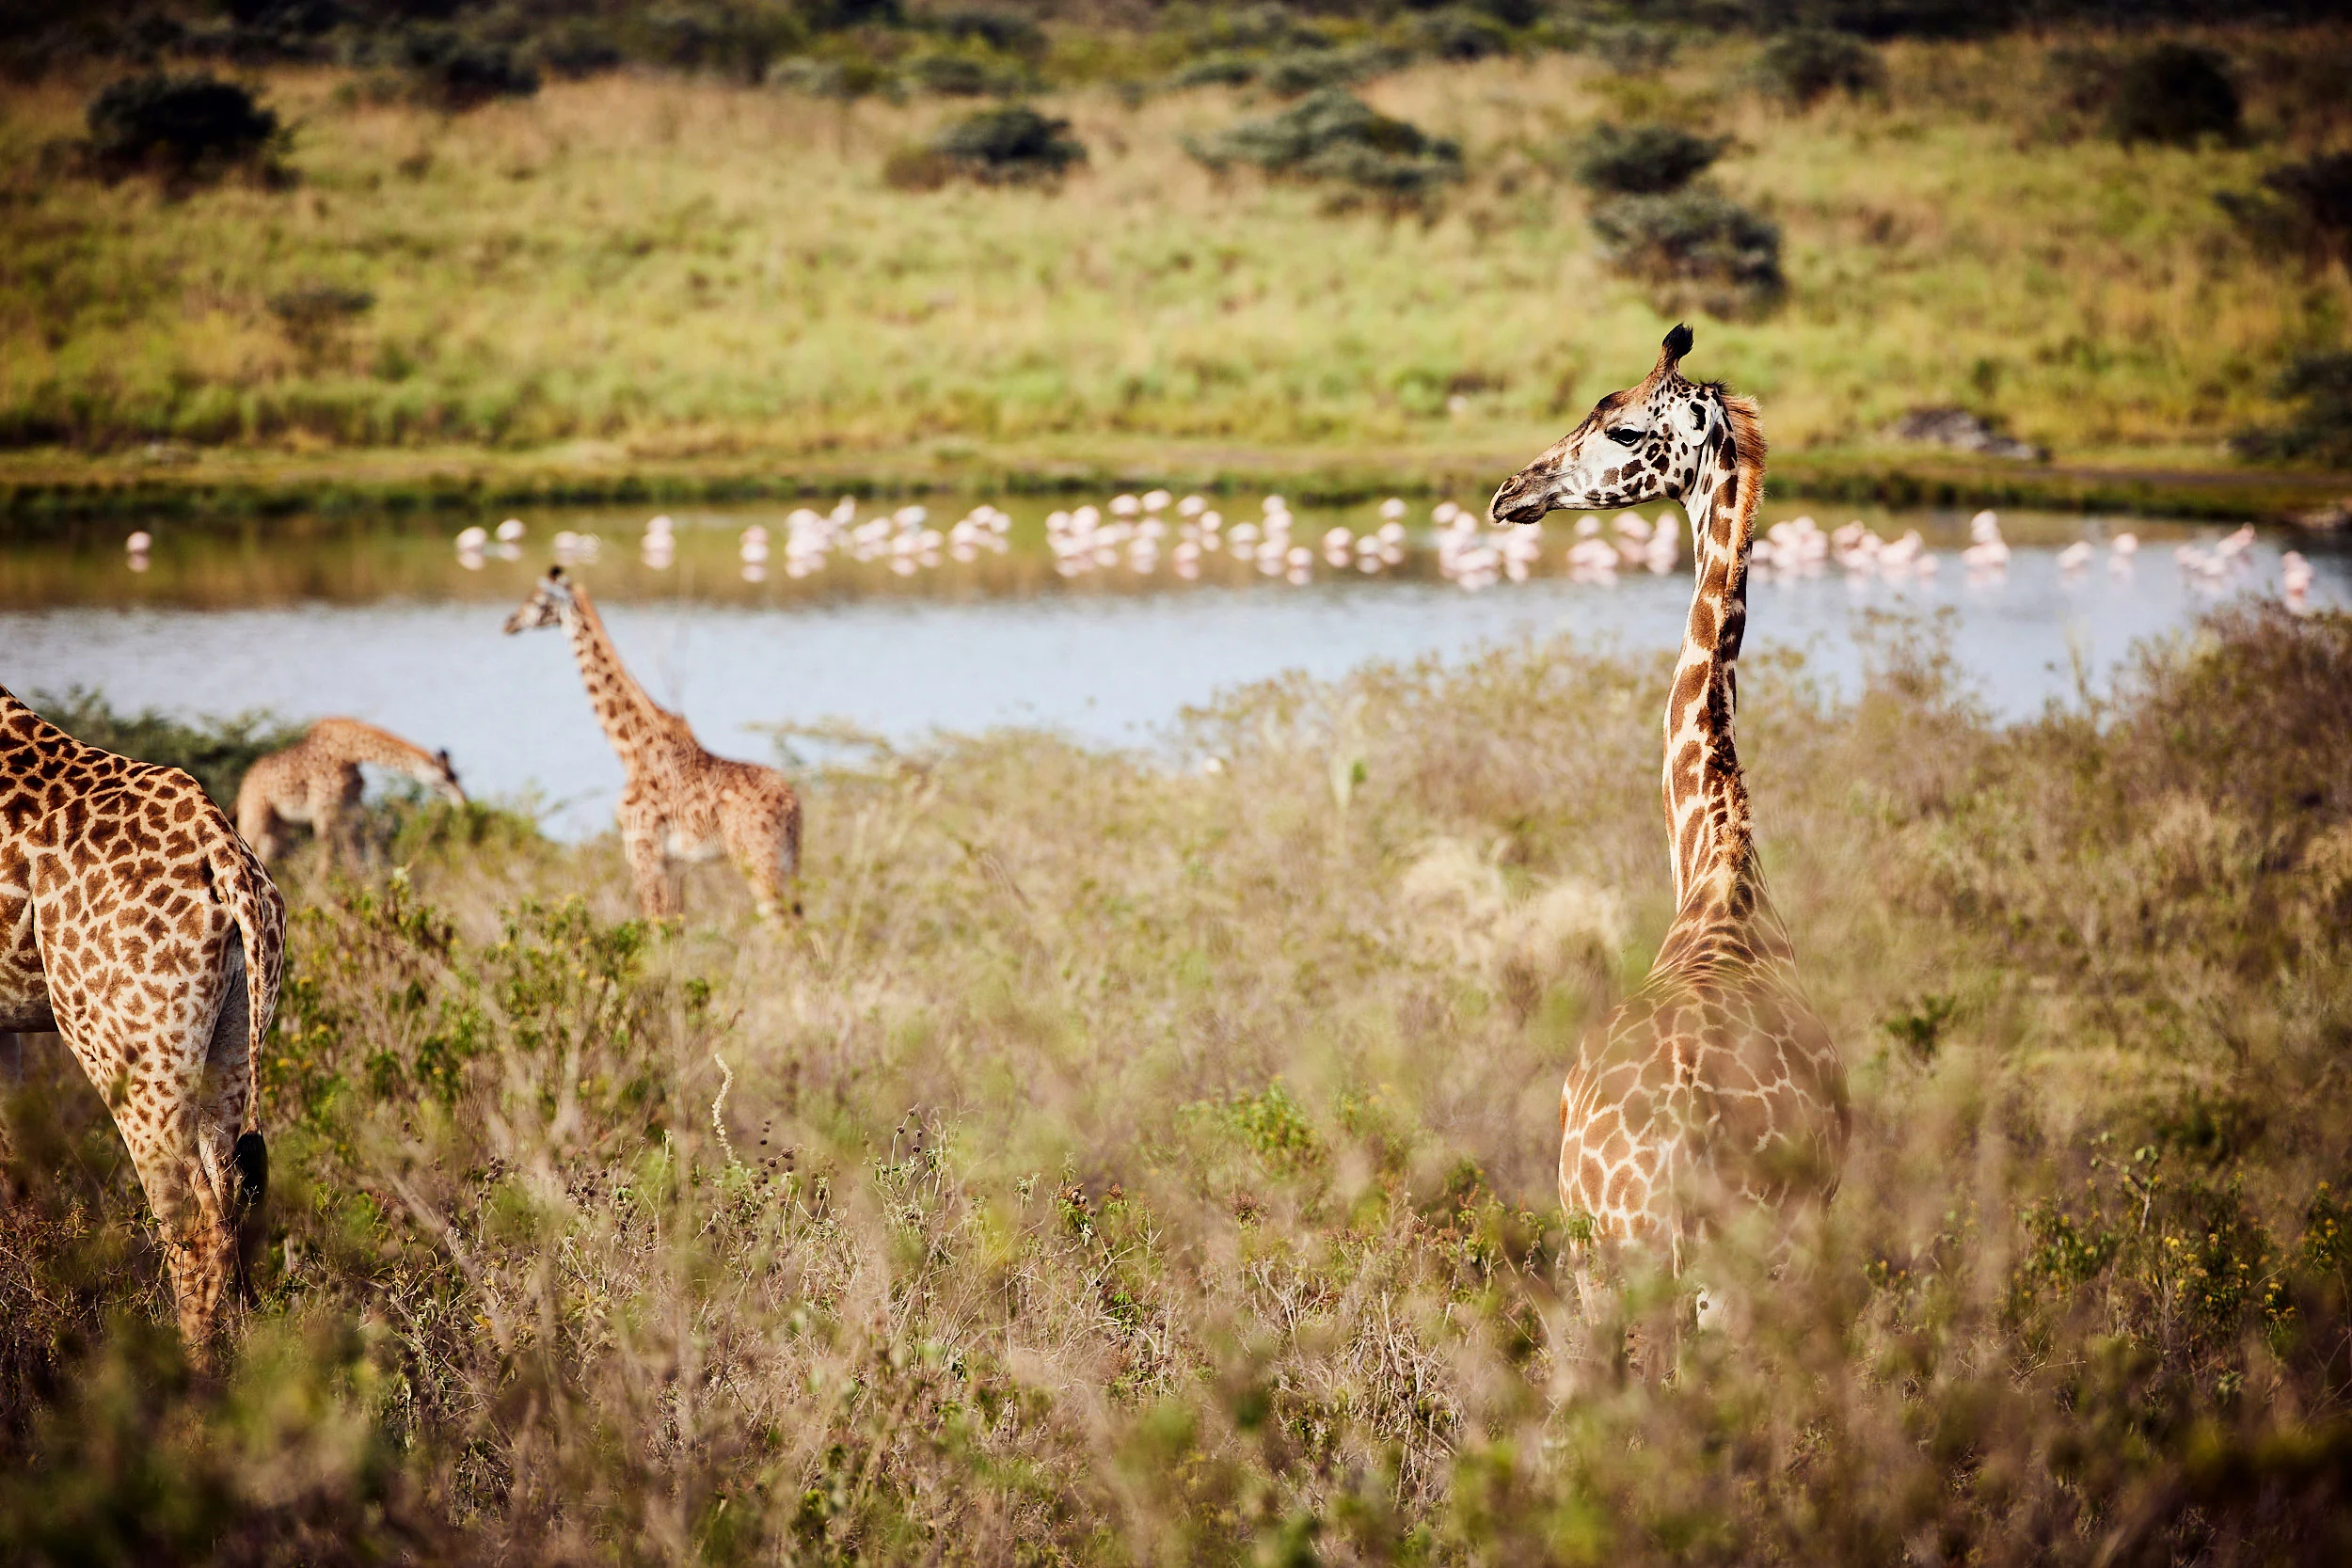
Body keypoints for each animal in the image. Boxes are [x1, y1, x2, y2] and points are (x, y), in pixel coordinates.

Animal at [236, 717, 466, 869]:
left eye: (457, 776)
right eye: (445, 779)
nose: (463, 802)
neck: (349, 754)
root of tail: (244, 785)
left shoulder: (352, 809)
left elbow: (353, 857)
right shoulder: (323, 810)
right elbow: (327, 857)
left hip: (279, 824)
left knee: (265, 854)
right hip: (256, 815)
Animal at [504, 567, 802, 921]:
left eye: (538, 601)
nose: (509, 623)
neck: (631, 750)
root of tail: (793, 805)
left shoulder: (642, 852)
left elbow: (654, 926)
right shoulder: (673, 864)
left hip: (758, 858)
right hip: (789, 860)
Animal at [1488, 326, 1849, 1330]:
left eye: (1619, 427)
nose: (1511, 492)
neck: (1717, 866)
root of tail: (1685, 1140)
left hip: (1628, 1259)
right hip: (1707, 1264)